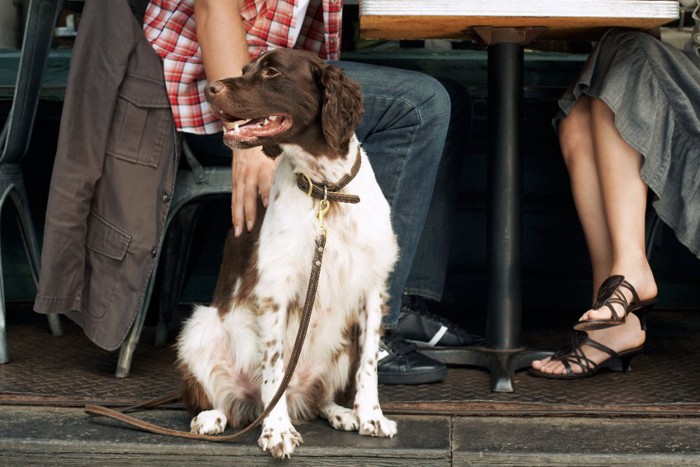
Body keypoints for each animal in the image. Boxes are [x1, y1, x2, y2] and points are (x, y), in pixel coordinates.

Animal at [176, 48, 400, 460]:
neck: (327, 191)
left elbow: (369, 364)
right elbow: (275, 367)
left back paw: (341, 412)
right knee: (220, 400)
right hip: (200, 326)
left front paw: (370, 416)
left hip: (341, 346)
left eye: (271, 72)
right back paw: (212, 418)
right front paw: (277, 430)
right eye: (245, 68)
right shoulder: (275, 291)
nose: (209, 88)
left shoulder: (373, 288)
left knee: (318, 399)